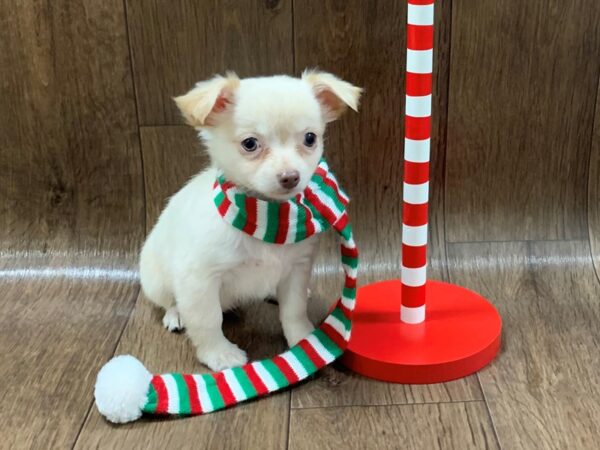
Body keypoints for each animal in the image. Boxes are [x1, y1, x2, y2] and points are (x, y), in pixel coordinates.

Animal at [139, 72, 360, 370]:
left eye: (310, 138)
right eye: (250, 144)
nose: (290, 177)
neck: (266, 219)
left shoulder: (297, 269)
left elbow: (294, 310)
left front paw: (303, 340)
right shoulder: (198, 280)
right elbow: (208, 321)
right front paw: (219, 354)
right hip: (156, 281)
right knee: (169, 301)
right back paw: (175, 315)